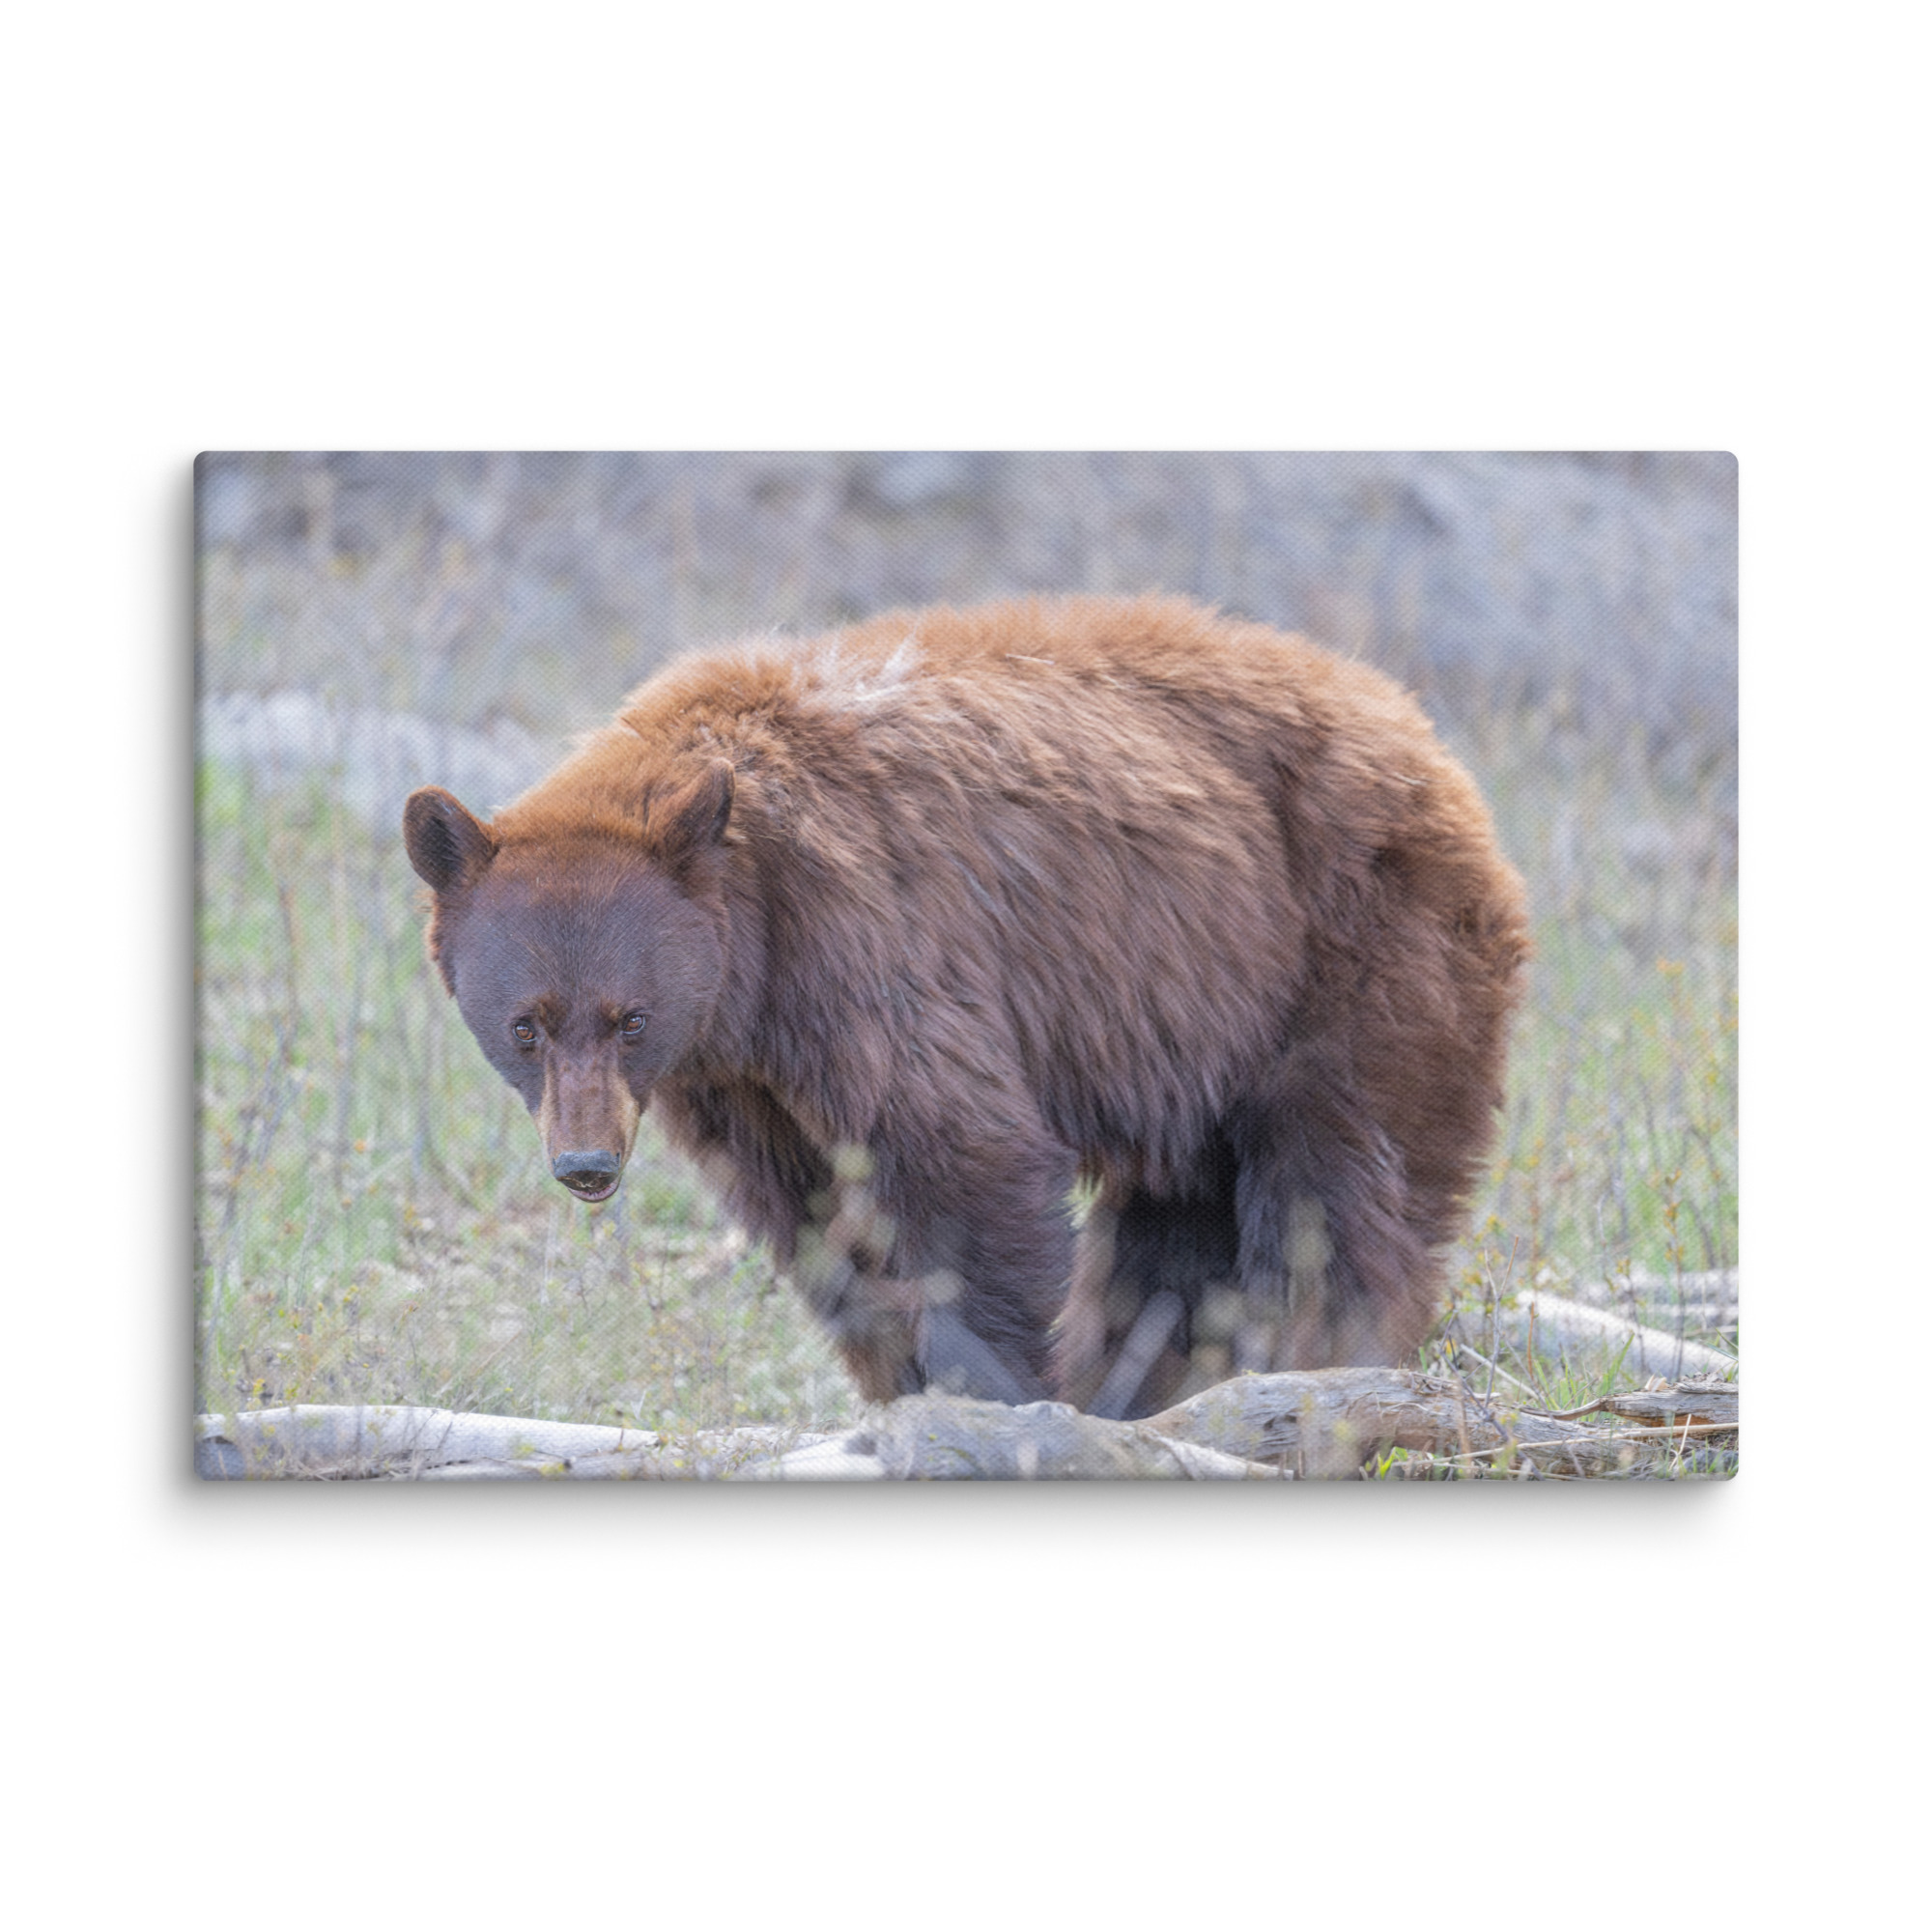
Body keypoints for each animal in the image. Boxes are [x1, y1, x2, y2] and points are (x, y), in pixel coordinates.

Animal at [403, 594, 1529, 1417]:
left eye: (629, 1017)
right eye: (526, 1025)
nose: (586, 1164)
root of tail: (1420, 732)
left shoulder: (871, 945)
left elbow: (960, 1160)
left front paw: (992, 1388)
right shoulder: (742, 1077)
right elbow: (816, 1216)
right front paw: (903, 1382)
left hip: (1349, 950)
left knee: (1336, 1185)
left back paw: (1310, 1361)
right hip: (1200, 1026)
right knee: (1178, 1222)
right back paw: (1151, 1379)